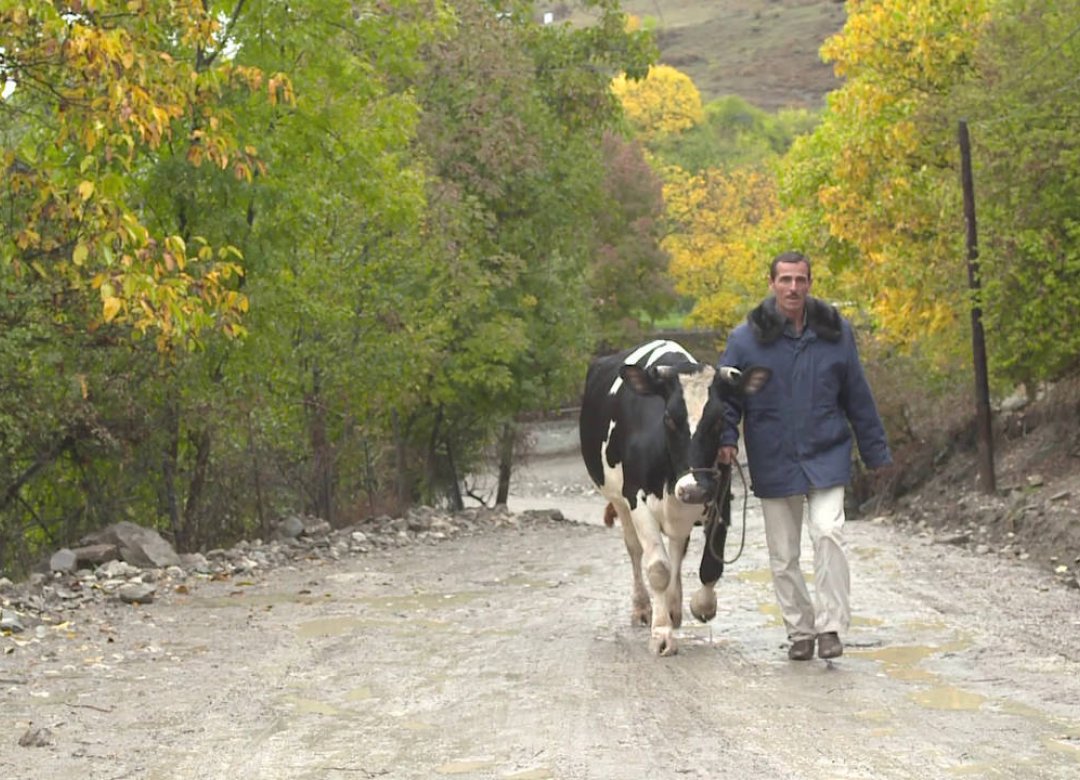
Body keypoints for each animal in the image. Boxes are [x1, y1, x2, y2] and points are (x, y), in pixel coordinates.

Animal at [579, 339, 770, 656]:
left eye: (720, 419)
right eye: (668, 418)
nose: (693, 489)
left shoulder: (720, 497)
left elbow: (710, 566)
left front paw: (700, 605)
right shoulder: (637, 499)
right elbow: (658, 568)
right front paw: (661, 633)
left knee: (678, 547)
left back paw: (673, 606)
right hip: (618, 499)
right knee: (635, 549)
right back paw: (643, 607)